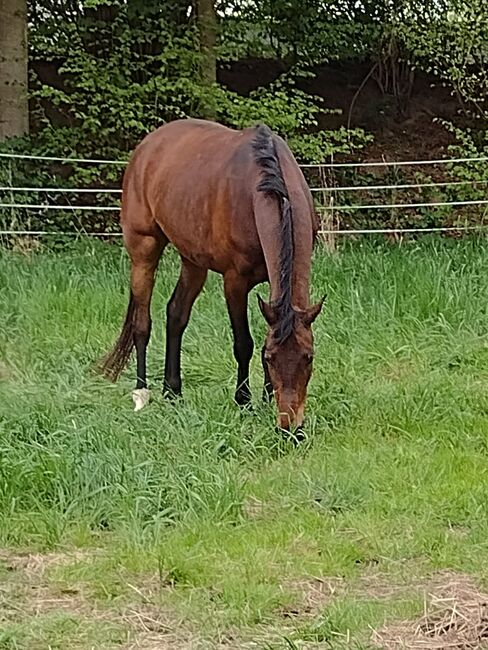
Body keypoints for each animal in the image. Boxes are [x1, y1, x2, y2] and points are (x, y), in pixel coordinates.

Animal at [102, 118, 324, 428]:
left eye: (309, 357)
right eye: (270, 359)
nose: (291, 427)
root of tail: (146, 146)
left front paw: (266, 399)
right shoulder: (235, 282)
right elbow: (244, 343)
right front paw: (244, 401)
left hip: (193, 262)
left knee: (176, 314)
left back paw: (173, 391)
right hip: (143, 249)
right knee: (141, 323)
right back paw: (142, 393)